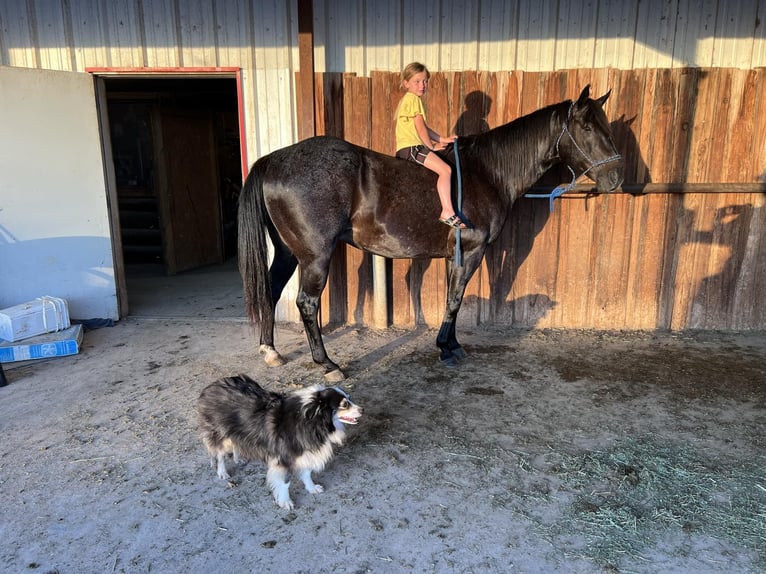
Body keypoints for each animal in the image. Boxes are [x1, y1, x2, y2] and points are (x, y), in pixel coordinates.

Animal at [238, 85, 624, 381]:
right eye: (587, 128)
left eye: (606, 125)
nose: (616, 178)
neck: (486, 173)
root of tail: (271, 160)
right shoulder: (472, 251)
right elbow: (454, 300)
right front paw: (447, 348)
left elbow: (454, 297)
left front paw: (450, 344)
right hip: (315, 256)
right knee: (307, 302)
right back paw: (328, 364)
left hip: (288, 252)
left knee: (271, 290)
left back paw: (270, 350)